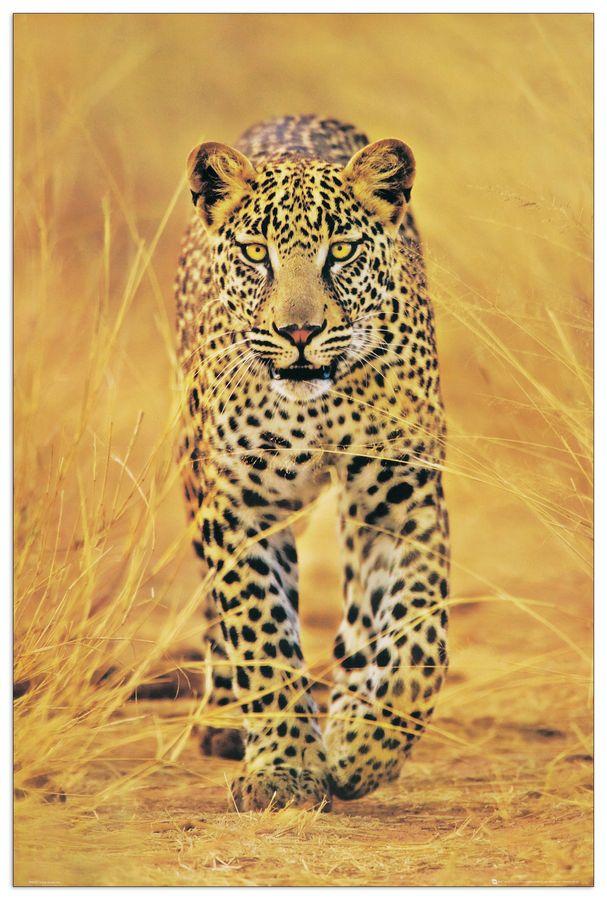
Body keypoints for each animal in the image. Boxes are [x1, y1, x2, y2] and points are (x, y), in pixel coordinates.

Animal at [175, 115, 449, 812]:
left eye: (342, 250)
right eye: (255, 253)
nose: (299, 332)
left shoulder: (401, 498)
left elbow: (419, 640)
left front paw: (361, 748)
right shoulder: (242, 505)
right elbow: (261, 636)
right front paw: (282, 770)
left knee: (362, 617)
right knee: (216, 612)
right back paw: (223, 718)